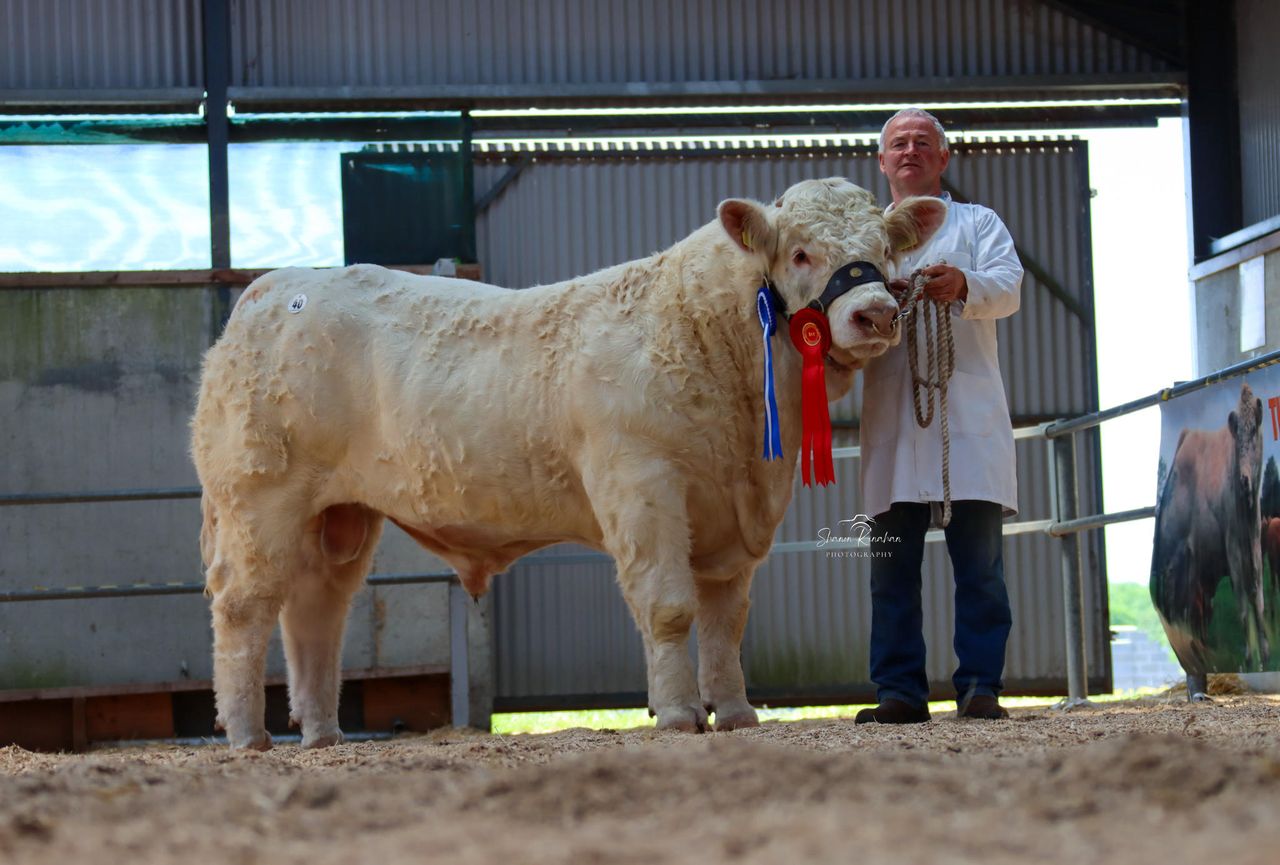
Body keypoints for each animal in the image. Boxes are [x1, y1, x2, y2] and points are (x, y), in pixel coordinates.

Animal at [191, 178, 946, 749]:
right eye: (799, 252)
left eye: (886, 249)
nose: (876, 313)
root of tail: (270, 291)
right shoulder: (641, 482)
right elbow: (670, 607)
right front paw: (679, 715)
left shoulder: (737, 514)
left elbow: (725, 619)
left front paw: (734, 713)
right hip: (259, 497)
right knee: (244, 605)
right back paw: (248, 735)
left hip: (339, 515)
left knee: (316, 609)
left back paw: (321, 733)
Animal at [1150, 381, 1268, 699]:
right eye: (1237, 438)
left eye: (1256, 432)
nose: (1244, 479)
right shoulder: (1233, 548)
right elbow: (1243, 600)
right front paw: (1251, 655)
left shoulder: (1252, 543)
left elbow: (1257, 594)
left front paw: (1264, 651)